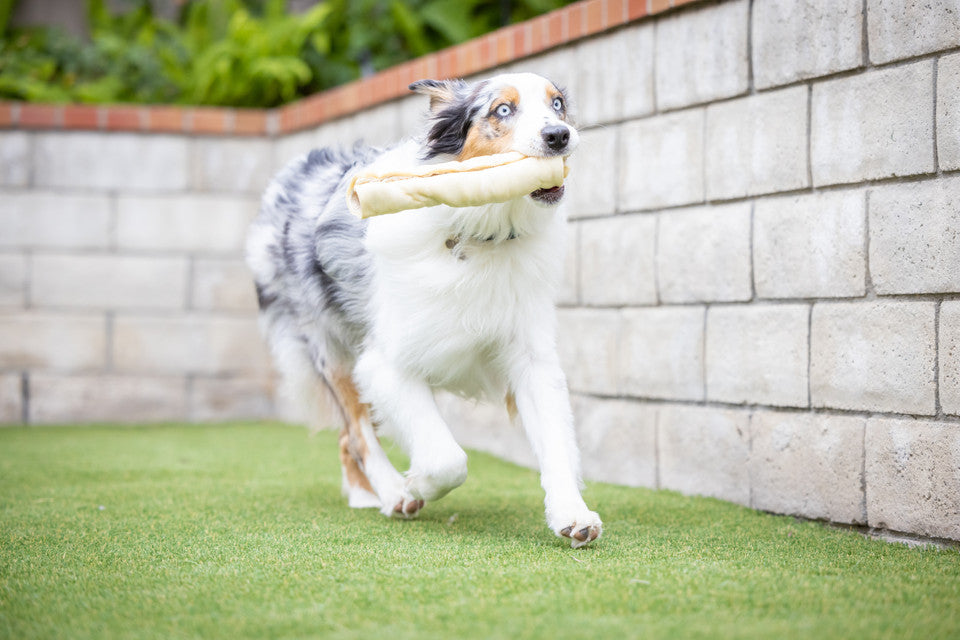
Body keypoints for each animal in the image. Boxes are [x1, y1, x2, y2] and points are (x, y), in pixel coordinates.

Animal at [251, 72, 604, 548]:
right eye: (502, 110)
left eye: (558, 104)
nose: (558, 136)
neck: (481, 231)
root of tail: (291, 171)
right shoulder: (384, 364)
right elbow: (447, 458)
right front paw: (415, 484)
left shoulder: (531, 358)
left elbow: (555, 444)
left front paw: (572, 514)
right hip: (330, 350)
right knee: (358, 434)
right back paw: (391, 493)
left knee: (347, 437)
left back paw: (363, 496)